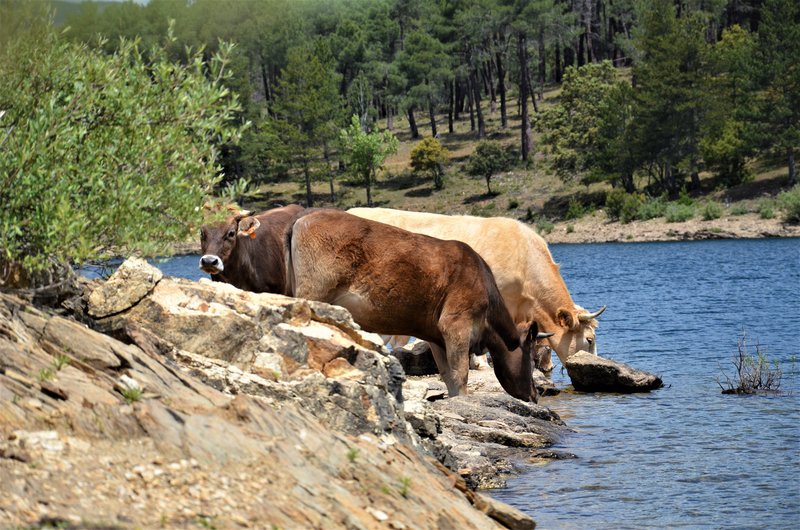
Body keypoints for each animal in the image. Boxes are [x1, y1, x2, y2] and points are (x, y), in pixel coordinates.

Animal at [284, 206, 540, 400]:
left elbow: (447, 375)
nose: (535, 394)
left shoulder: (436, 335)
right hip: (314, 290)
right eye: (530, 355)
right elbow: (460, 374)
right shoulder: (456, 322)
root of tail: (303, 217)